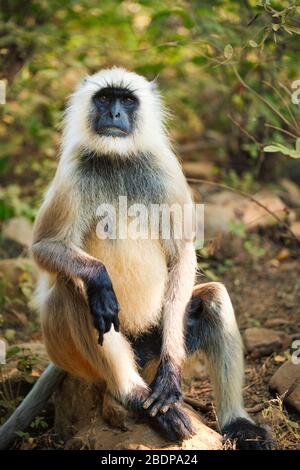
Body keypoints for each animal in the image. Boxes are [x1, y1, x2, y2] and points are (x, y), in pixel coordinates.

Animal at [0, 68, 274, 450]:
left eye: (127, 101)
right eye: (104, 98)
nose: (114, 114)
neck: (118, 159)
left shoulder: (164, 169)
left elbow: (182, 253)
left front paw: (171, 377)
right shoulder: (73, 171)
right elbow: (43, 247)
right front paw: (100, 278)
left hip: (155, 338)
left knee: (215, 298)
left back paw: (237, 423)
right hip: (66, 350)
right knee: (77, 291)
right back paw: (133, 395)